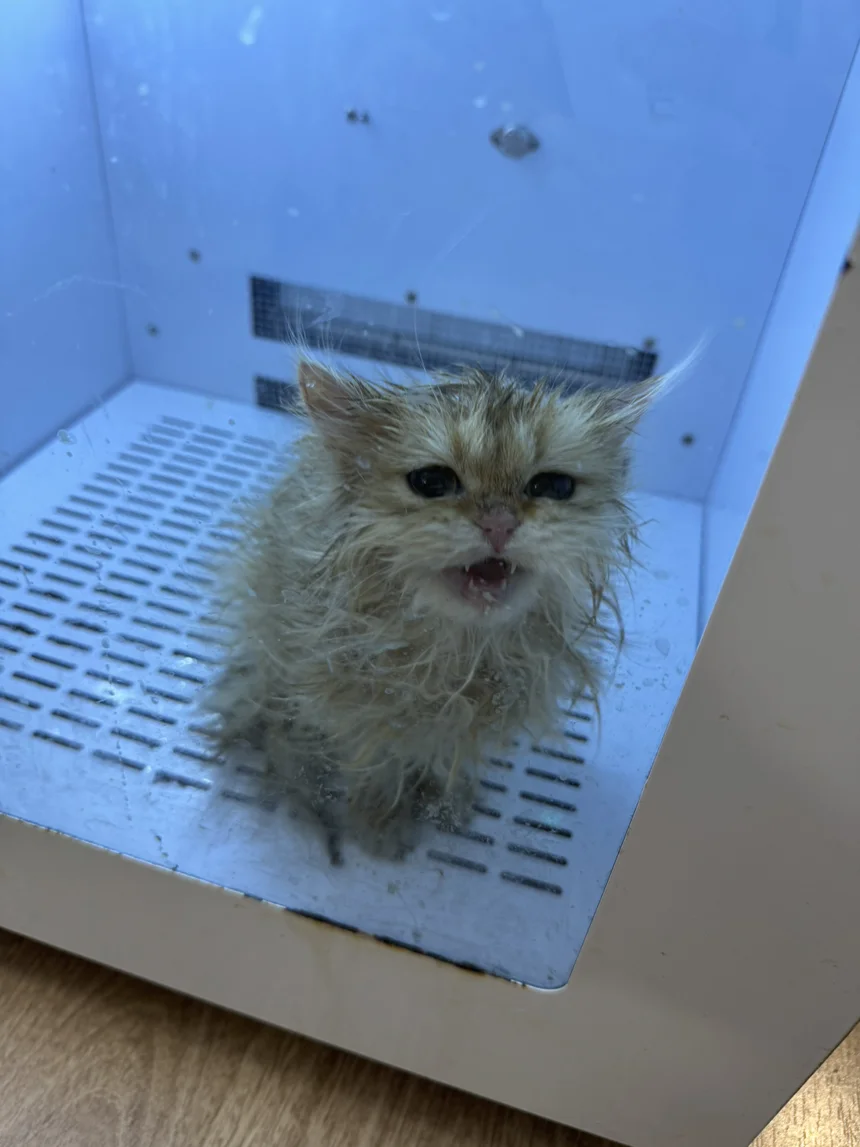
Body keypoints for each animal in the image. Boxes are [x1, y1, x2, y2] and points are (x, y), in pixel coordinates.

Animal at [206, 358, 663, 863]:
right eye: (432, 482)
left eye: (553, 486)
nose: (499, 522)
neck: (457, 660)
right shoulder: (351, 713)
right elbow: (378, 763)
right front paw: (379, 823)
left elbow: (448, 758)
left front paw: (447, 799)